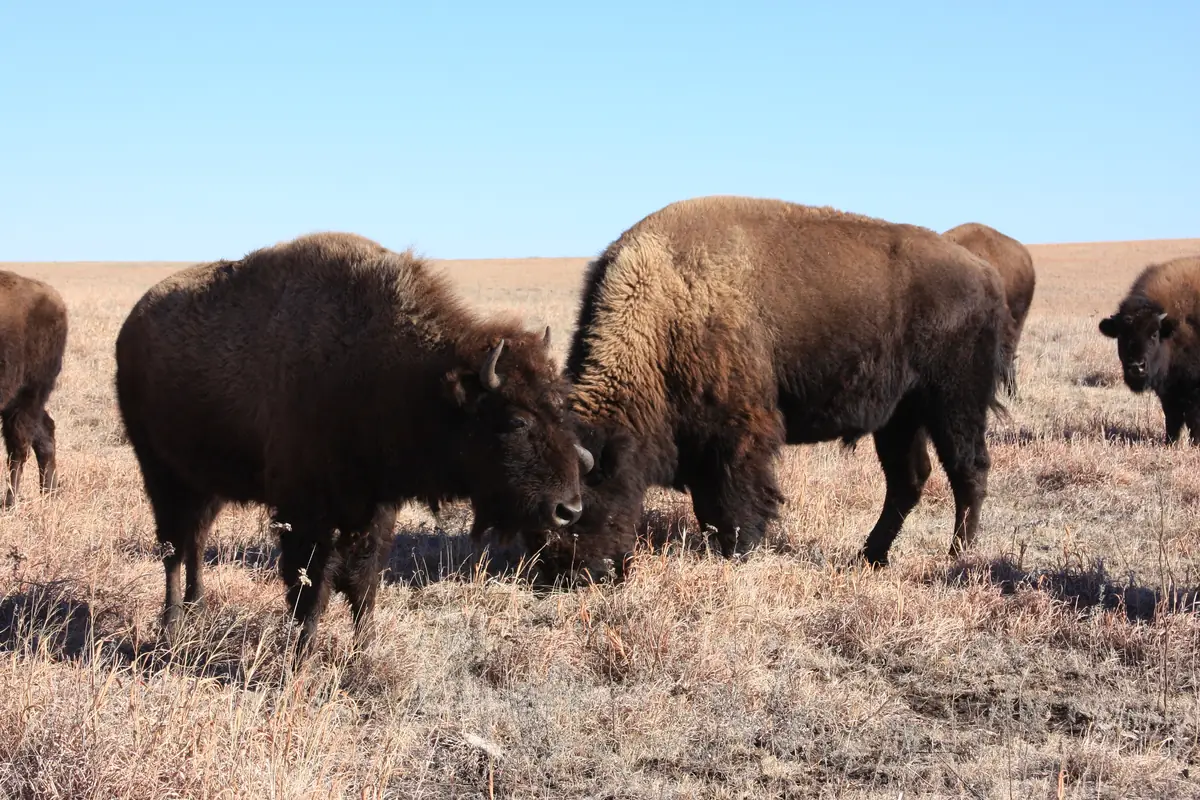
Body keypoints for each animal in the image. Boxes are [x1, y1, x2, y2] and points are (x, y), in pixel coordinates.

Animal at [116, 232, 591, 654]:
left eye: (561, 407)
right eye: (515, 420)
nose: (568, 510)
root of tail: (130, 327)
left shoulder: (374, 510)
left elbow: (363, 585)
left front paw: (364, 651)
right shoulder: (306, 514)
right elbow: (311, 587)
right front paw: (301, 656)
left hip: (207, 484)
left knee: (194, 542)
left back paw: (197, 609)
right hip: (161, 474)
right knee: (174, 549)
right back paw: (172, 624)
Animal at [506, 196, 1011, 582]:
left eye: (577, 507)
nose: (571, 574)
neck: (666, 306)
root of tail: (986, 275)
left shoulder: (739, 434)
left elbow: (736, 501)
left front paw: (740, 553)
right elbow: (710, 505)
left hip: (954, 403)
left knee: (968, 470)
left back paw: (957, 555)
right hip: (899, 417)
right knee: (908, 479)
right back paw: (871, 556)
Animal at [1099, 254, 1200, 444]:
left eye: (1154, 334)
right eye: (1121, 335)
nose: (1136, 367)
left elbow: (1193, 421)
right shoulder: (1168, 391)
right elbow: (1172, 419)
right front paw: (1170, 443)